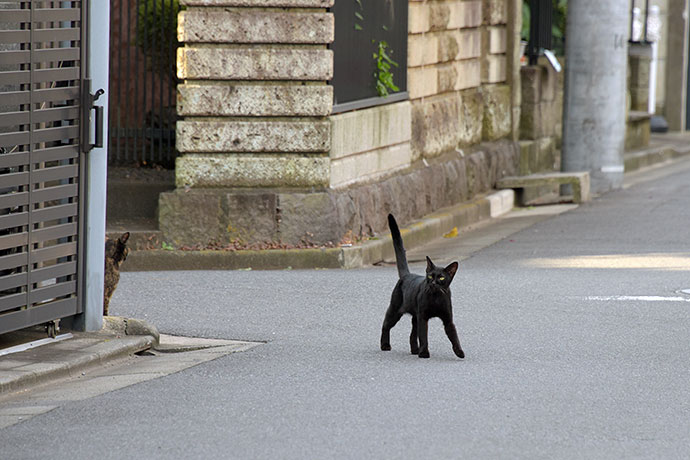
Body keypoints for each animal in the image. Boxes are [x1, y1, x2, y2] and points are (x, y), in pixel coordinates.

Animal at [378, 215, 464, 360]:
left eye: (441, 278)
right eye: (430, 276)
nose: (433, 283)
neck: (436, 298)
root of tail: (407, 275)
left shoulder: (448, 319)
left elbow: (454, 336)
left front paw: (459, 352)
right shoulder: (423, 318)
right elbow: (424, 336)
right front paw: (424, 353)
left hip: (415, 317)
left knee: (412, 334)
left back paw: (414, 350)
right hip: (396, 310)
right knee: (385, 324)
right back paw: (385, 345)